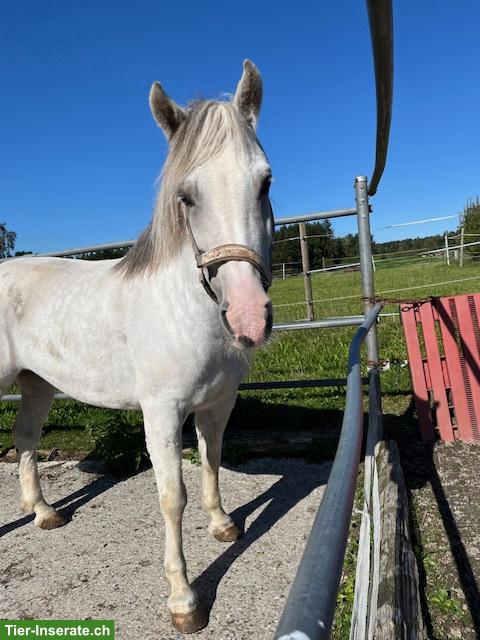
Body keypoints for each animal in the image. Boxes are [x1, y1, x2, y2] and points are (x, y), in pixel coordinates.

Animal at [0, 60, 274, 633]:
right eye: (186, 196)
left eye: (265, 182)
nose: (249, 317)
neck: (186, 309)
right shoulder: (161, 412)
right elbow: (173, 497)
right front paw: (184, 601)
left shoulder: (218, 404)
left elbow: (213, 460)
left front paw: (223, 525)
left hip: (37, 387)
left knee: (25, 437)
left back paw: (44, 514)